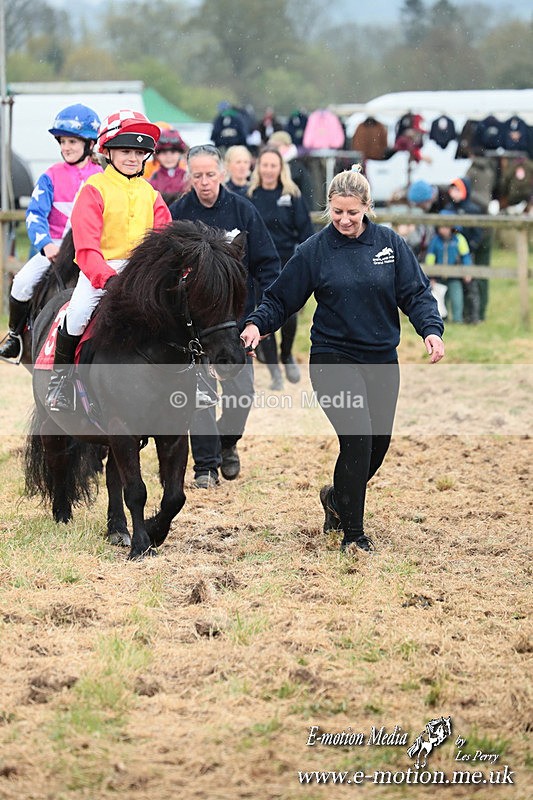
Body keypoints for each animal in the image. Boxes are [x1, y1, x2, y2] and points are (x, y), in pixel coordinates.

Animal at [24, 220, 247, 560]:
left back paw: (117, 529)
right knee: (58, 460)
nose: (231, 360)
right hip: (55, 423)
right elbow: (137, 490)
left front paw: (154, 531)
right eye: (201, 293)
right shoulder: (123, 429)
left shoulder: (171, 432)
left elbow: (174, 495)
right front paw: (142, 546)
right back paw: (62, 516)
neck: (149, 353)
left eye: (236, 294)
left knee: (112, 476)